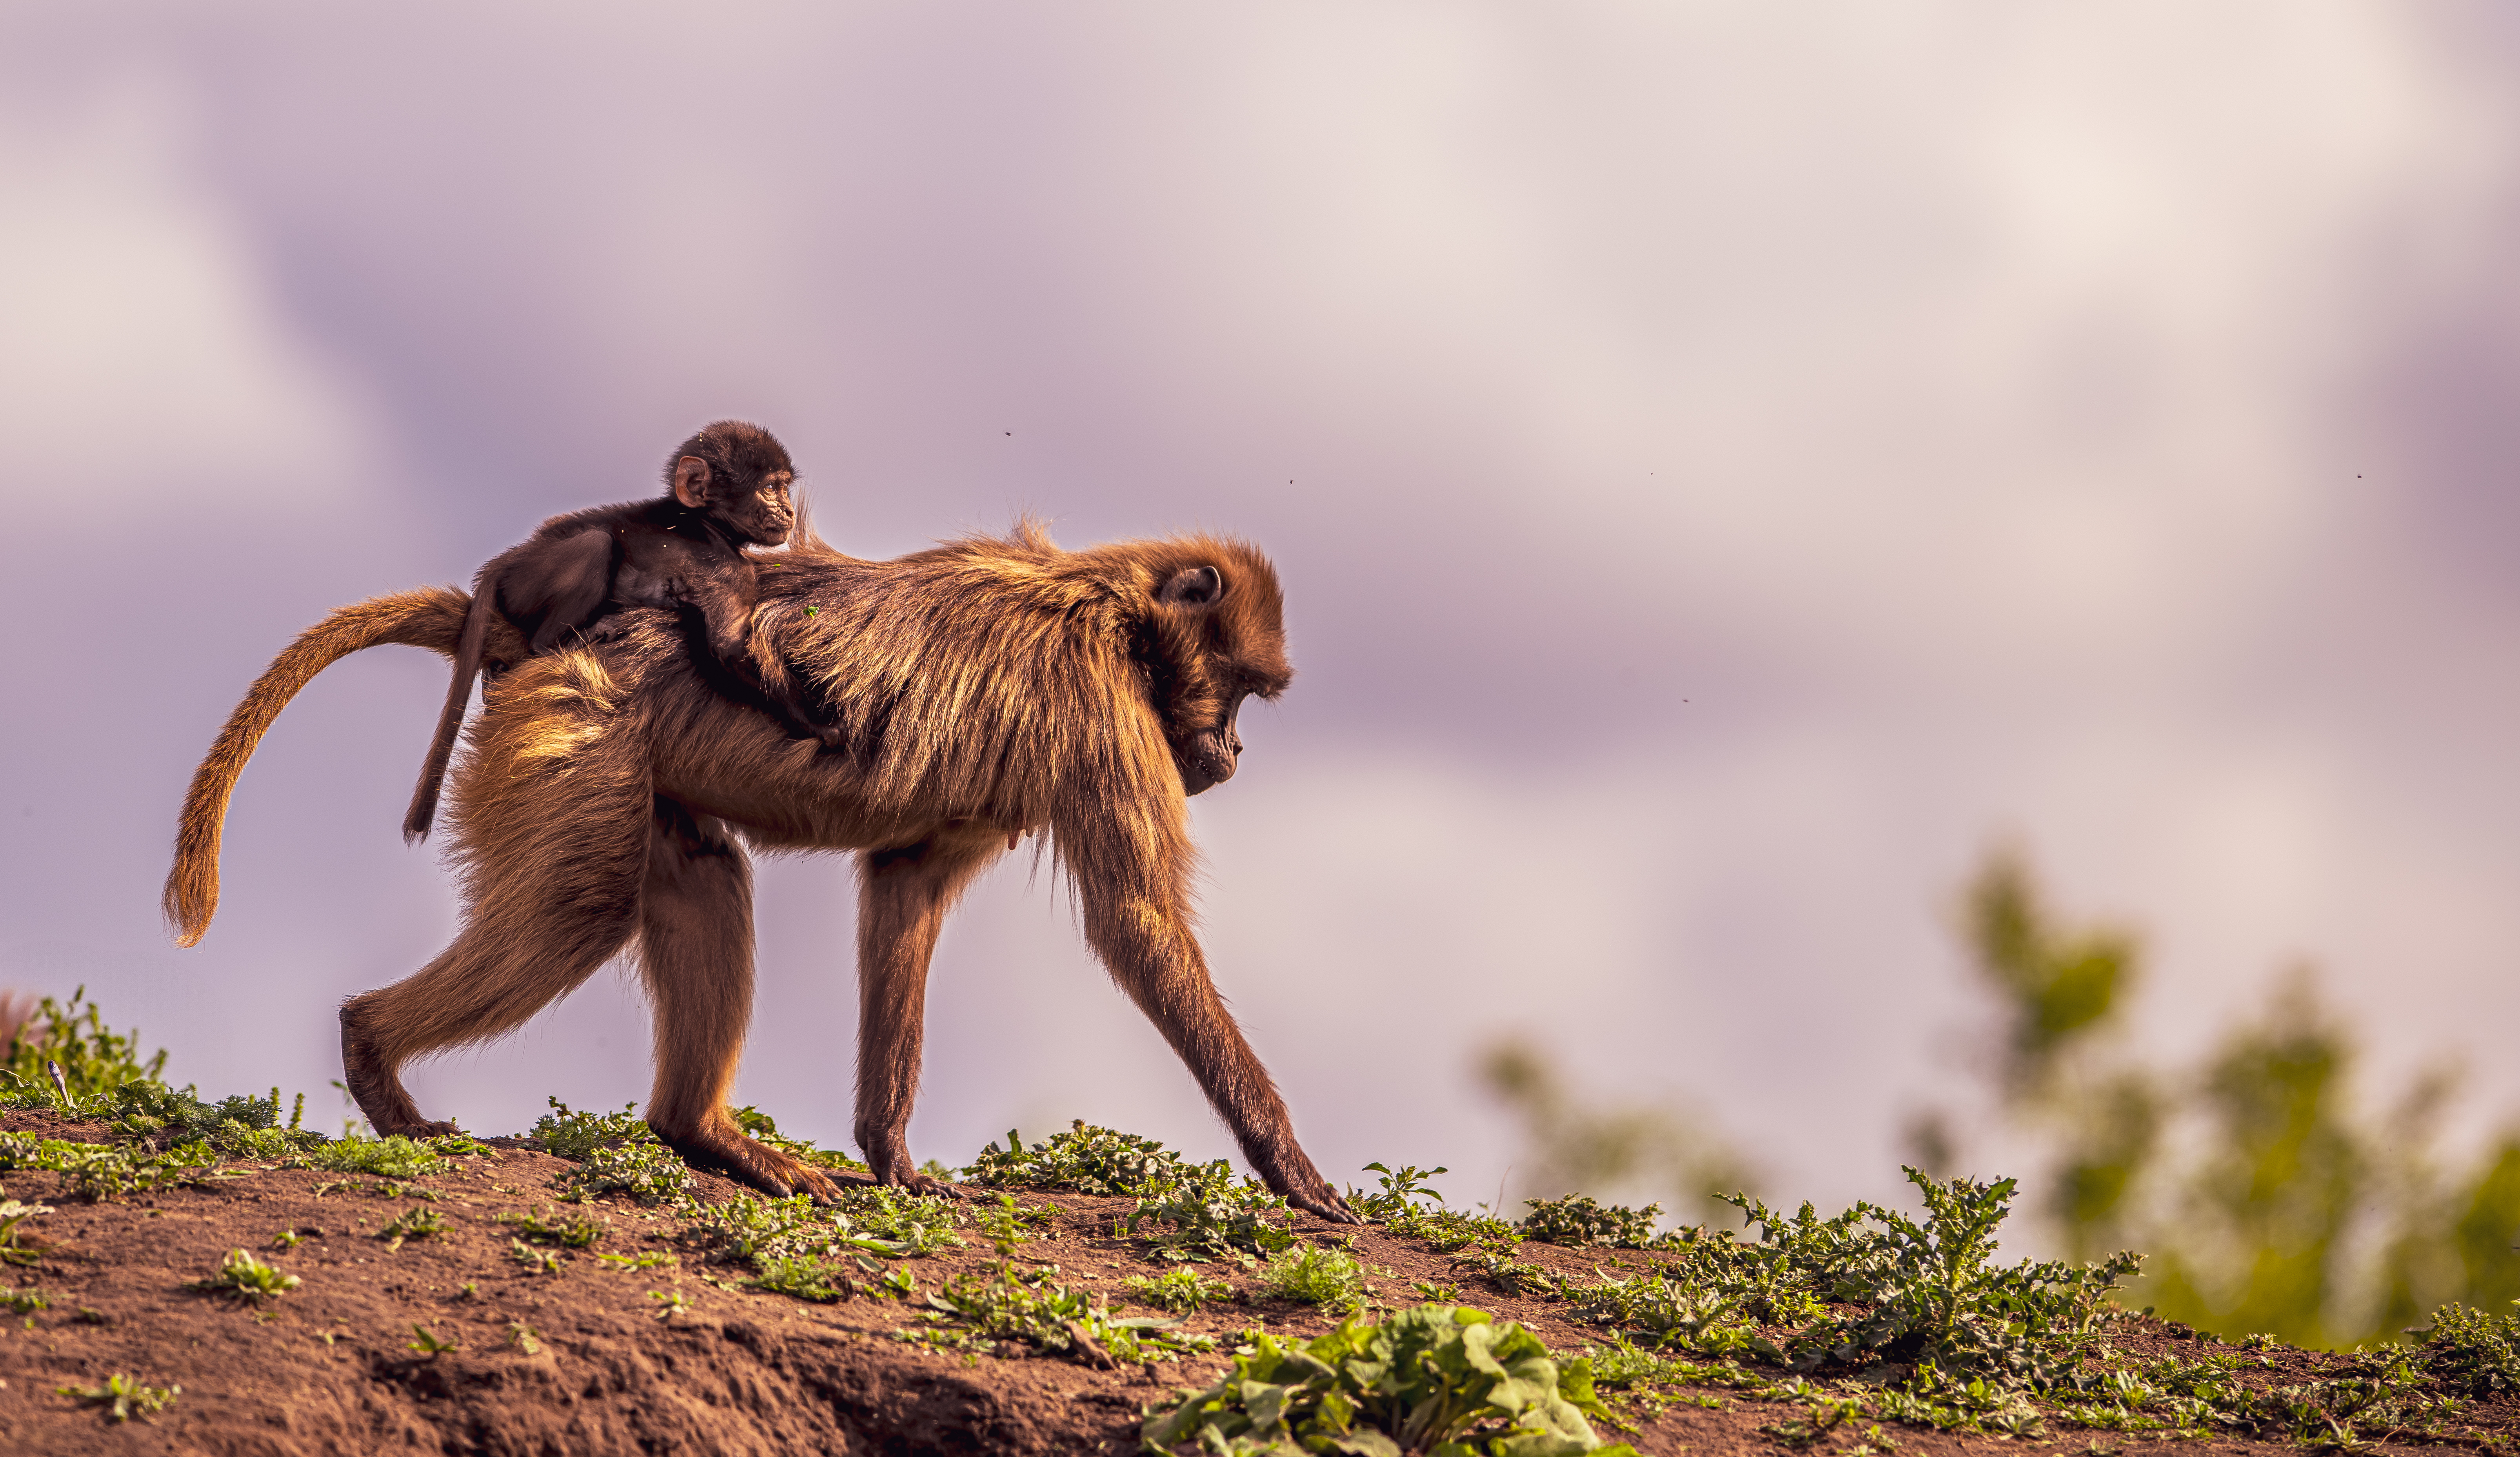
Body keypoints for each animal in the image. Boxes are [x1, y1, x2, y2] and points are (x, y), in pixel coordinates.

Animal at [165, 521, 1359, 1222]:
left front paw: (891, 1158)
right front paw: (1294, 1168)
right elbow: (1139, 923)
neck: (1111, 602)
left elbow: (905, 885)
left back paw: (700, 1131)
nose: (1230, 754)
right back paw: (374, 1052)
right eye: (1239, 689)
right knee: (581, 907)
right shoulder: (1102, 705)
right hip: (577, 729)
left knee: (697, 875)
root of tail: (541, 636)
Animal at [402, 419, 836, 844]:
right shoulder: (724, 569)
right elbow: (729, 649)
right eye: (770, 488)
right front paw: (824, 726)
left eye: (784, 487)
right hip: (529, 584)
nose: (788, 510)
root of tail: (507, 562)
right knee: (595, 545)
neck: (705, 524)